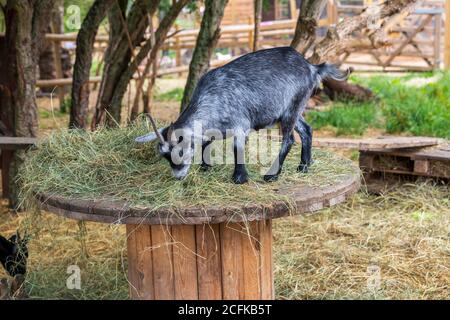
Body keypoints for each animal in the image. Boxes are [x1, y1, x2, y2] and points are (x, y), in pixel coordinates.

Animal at [136, 46, 348, 184]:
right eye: (164, 155)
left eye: (180, 150)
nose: (178, 176)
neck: (211, 97)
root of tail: (312, 67)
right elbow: (205, 143)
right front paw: (205, 167)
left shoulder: (241, 125)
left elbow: (237, 148)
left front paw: (239, 177)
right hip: (291, 109)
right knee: (306, 130)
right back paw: (304, 166)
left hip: (292, 108)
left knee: (289, 140)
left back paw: (272, 175)